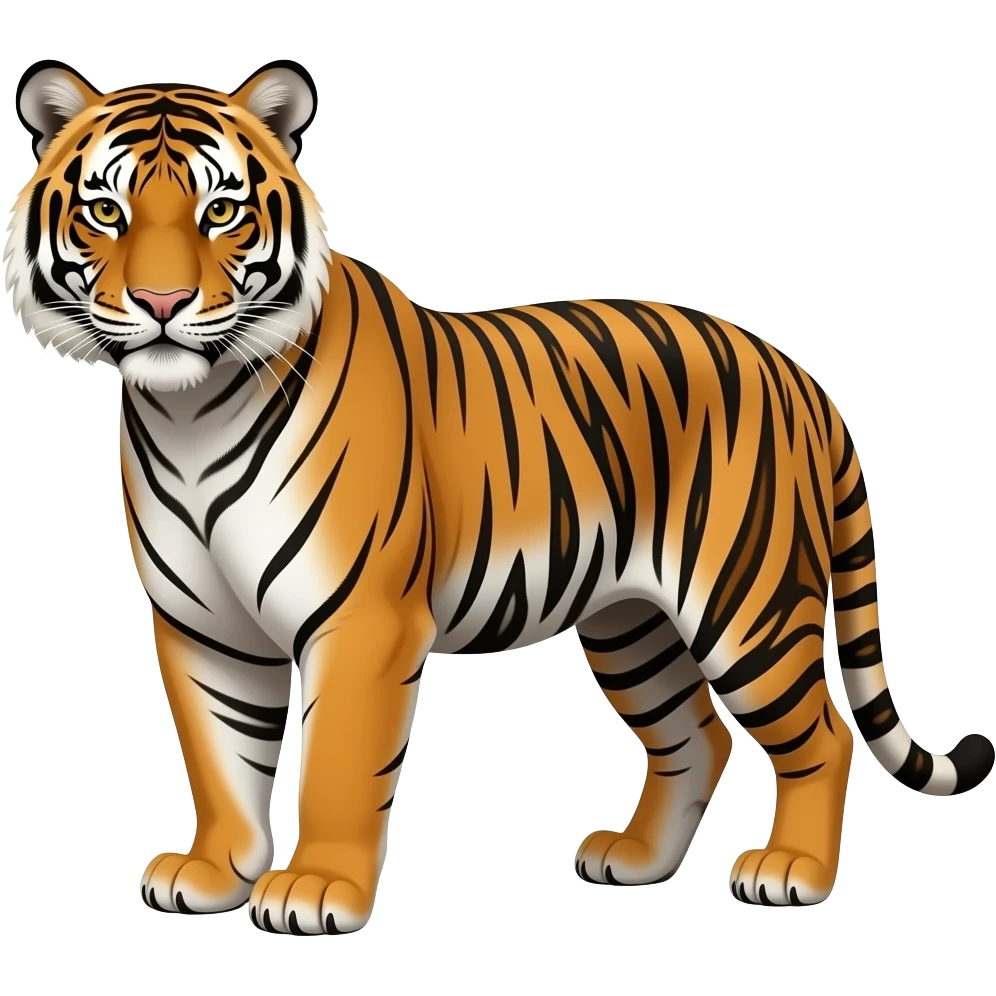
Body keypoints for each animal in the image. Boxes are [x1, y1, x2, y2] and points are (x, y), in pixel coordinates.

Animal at [5, 57, 993, 935]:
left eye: (221, 211)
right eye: (105, 210)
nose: (162, 302)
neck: (191, 411)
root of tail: (795, 372)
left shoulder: (361, 619)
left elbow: (335, 767)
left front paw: (317, 890)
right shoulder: (202, 623)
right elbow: (221, 757)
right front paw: (213, 873)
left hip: (745, 603)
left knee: (822, 734)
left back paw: (791, 873)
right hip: (633, 622)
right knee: (695, 737)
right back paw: (635, 861)